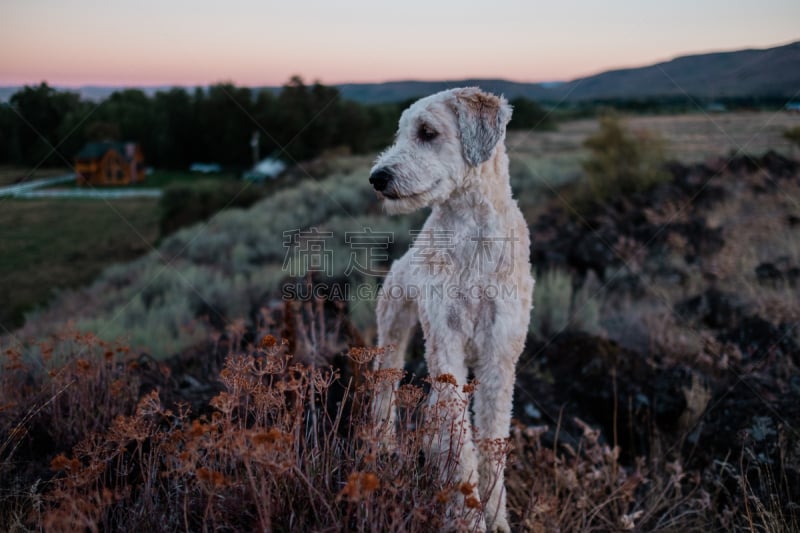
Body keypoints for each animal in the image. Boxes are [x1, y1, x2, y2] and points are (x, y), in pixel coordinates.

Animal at [370, 88, 536, 532]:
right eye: (400, 133)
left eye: (427, 132)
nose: (377, 177)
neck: (472, 236)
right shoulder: (445, 343)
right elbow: (461, 448)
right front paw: (466, 519)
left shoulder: (500, 355)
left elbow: (491, 444)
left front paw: (496, 518)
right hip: (392, 330)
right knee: (385, 390)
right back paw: (381, 447)